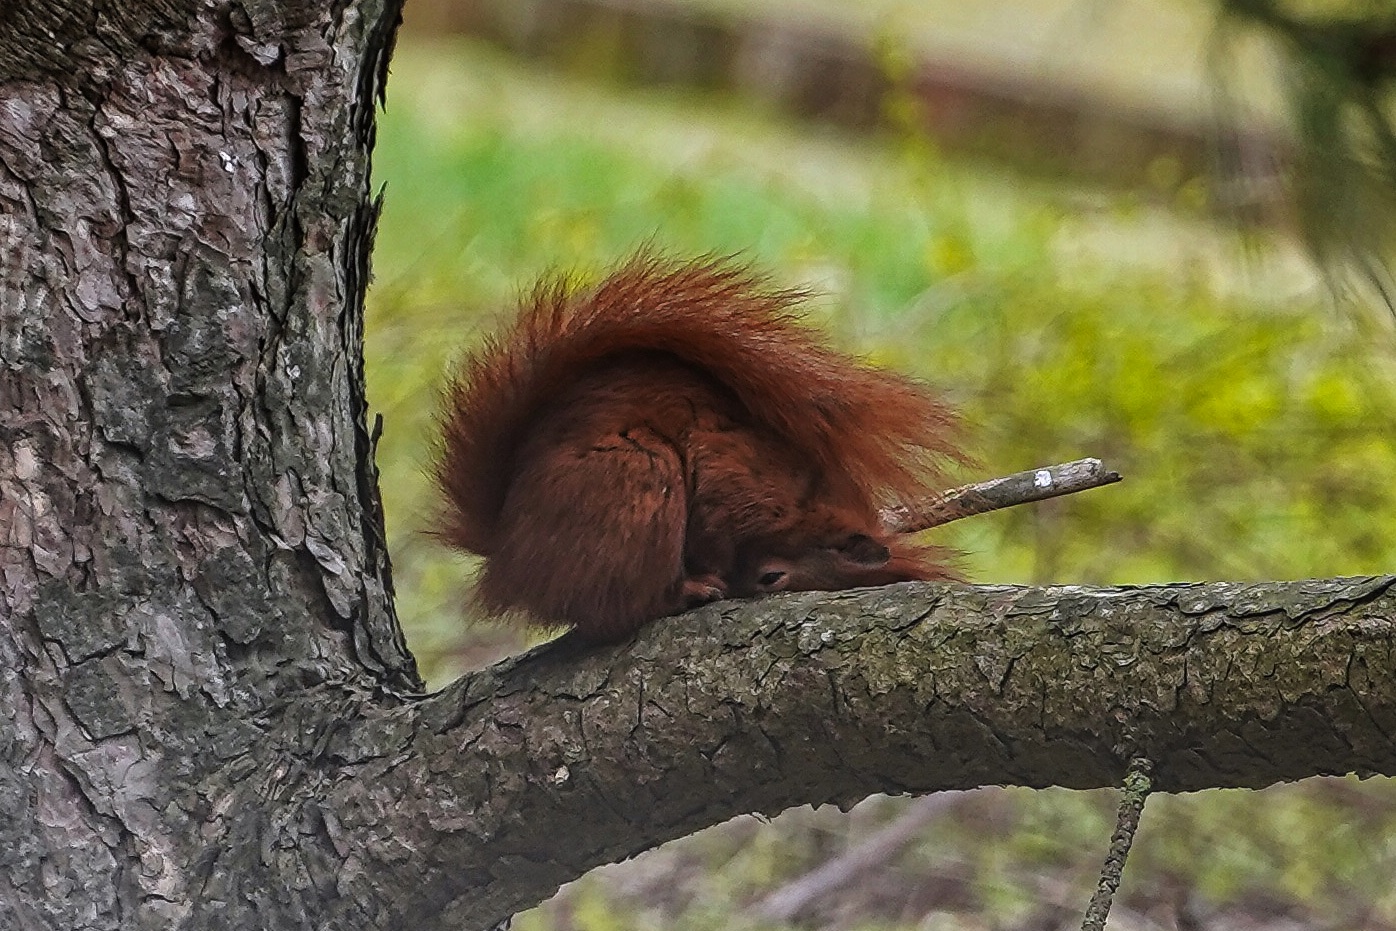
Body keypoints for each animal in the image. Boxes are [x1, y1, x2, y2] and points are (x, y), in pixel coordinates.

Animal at [435, 258, 960, 644]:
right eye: (772, 578)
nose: (746, 587)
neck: (802, 500)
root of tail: (507, 553)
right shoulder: (731, 479)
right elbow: (713, 521)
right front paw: (718, 573)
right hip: (638, 478)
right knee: (616, 609)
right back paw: (690, 590)